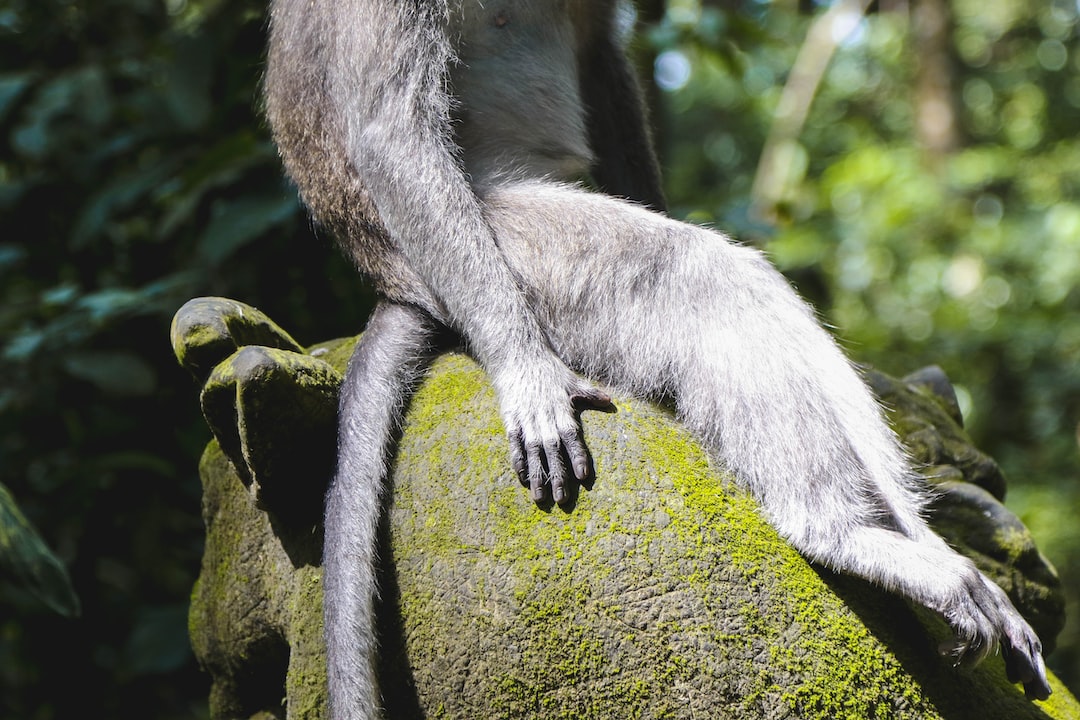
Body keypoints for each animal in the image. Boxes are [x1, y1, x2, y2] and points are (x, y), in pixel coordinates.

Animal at [263, 0, 1052, 716]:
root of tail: (399, 283)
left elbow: (598, 48)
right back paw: (838, 532)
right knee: (696, 274)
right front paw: (524, 370)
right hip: (506, 253)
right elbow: (390, 129)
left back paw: (919, 542)